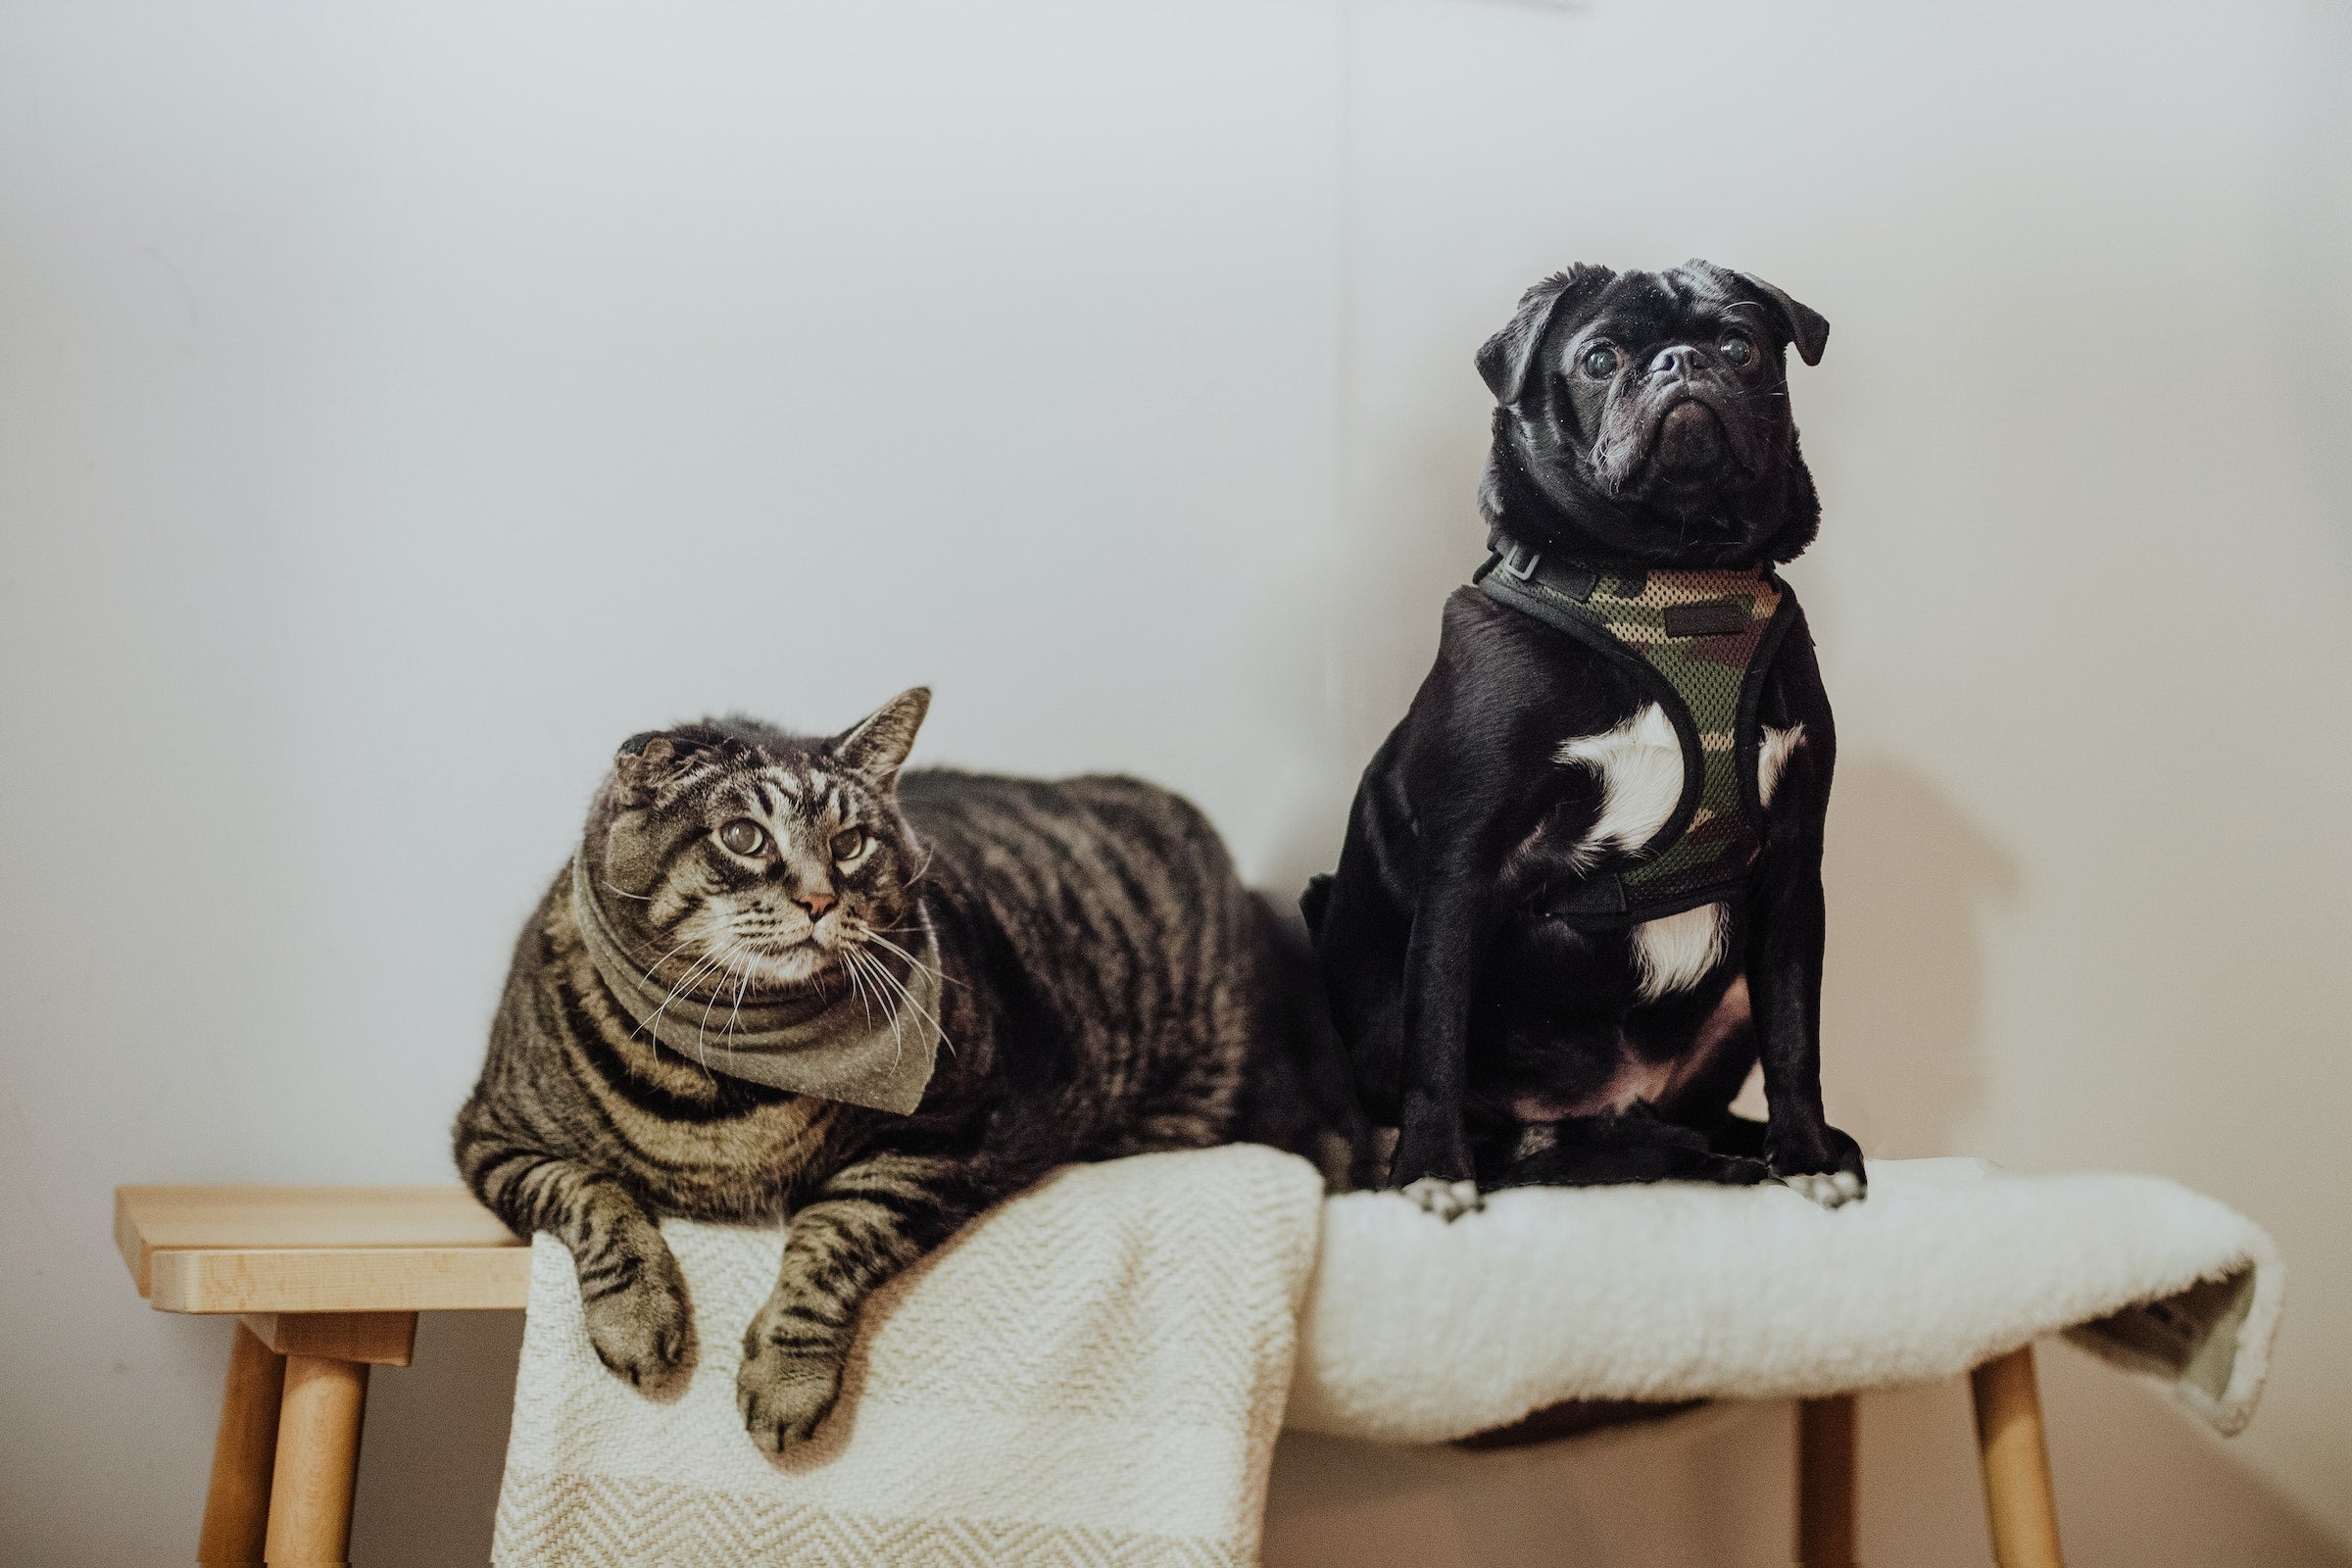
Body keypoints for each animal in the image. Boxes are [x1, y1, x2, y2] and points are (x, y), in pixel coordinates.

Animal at [454, 691, 1364, 1457]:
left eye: (851, 844)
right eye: (744, 837)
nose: (821, 900)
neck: (733, 1074)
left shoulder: (954, 1136)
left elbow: (836, 1234)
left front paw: (786, 1380)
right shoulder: (492, 1137)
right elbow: (594, 1196)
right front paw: (640, 1321)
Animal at [1307, 257, 1853, 1222]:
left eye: (1740, 346)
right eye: (1600, 359)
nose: (1680, 361)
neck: (1672, 575)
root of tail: (1602, 1107)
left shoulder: (1793, 869)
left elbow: (1797, 1033)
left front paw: (1807, 1155)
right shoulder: (1465, 869)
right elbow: (1435, 1036)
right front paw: (1432, 1169)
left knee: (1687, 1118)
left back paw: (1738, 1154)